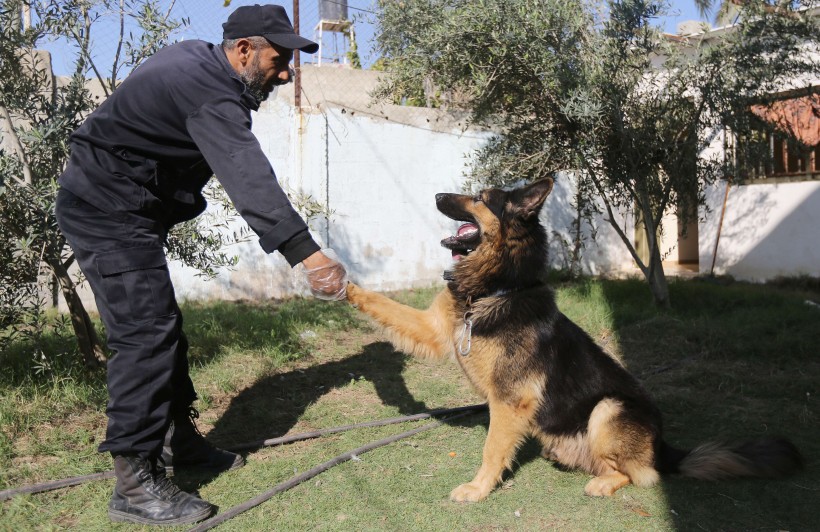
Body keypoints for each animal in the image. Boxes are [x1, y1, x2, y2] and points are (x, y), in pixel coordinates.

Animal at [346, 179, 800, 502]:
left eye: (479, 197)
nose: (438, 194)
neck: (496, 288)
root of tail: (663, 445)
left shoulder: (510, 401)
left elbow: (492, 449)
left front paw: (477, 489)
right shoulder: (435, 327)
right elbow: (387, 307)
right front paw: (344, 286)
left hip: (608, 408)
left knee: (645, 474)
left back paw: (606, 483)